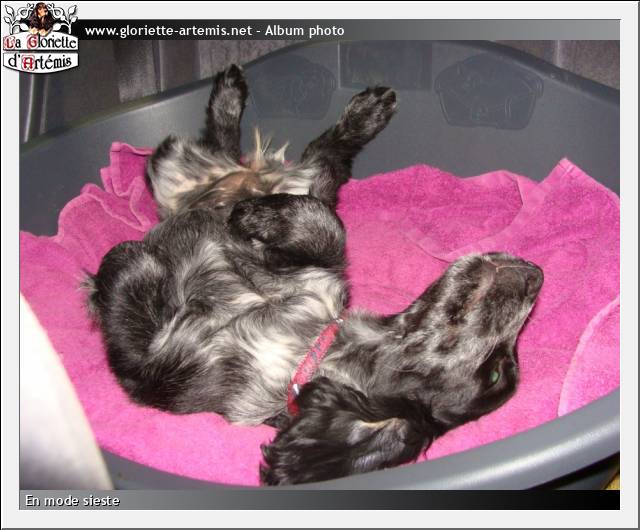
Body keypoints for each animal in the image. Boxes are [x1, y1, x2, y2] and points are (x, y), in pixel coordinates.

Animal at [84, 64, 543, 485]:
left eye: (498, 372)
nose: (536, 275)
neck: (307, 346)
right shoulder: (313, 270)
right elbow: (328, 228)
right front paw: (253, 217)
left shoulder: (150, 370)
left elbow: (127, 283)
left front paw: (120, 263)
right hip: (225, 172)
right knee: (303, 157)